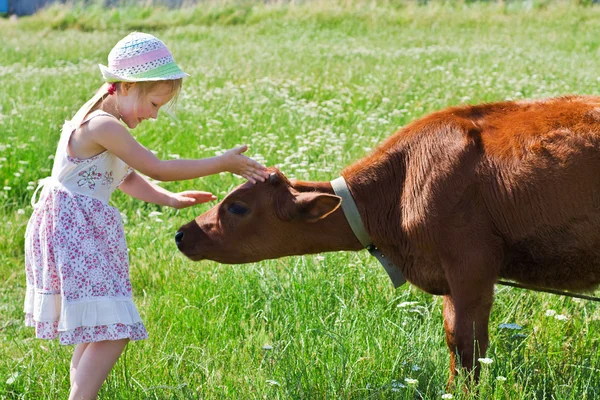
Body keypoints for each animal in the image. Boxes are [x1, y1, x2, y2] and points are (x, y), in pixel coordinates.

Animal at [176, 95, 600, 380]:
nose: (181, 233)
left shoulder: (471, 266)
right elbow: (453, 339)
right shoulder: (450, 278)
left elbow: (468, 347)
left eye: (237, 207)